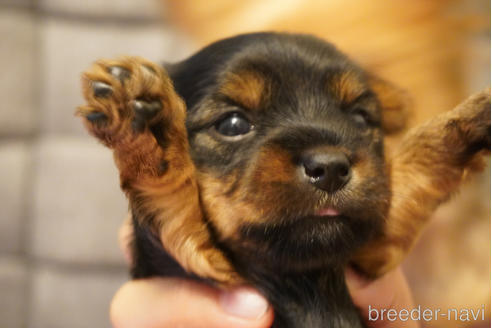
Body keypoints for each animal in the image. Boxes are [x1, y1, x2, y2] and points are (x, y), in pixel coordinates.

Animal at [78, 31, 492, 328]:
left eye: (360, 119)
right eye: (232, 124)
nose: (330, 167)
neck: (304, 280)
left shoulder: (372, 254)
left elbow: (406, 184)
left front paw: (463, 128)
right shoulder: (201, 263)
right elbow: (179, 210)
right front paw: (151, 126)